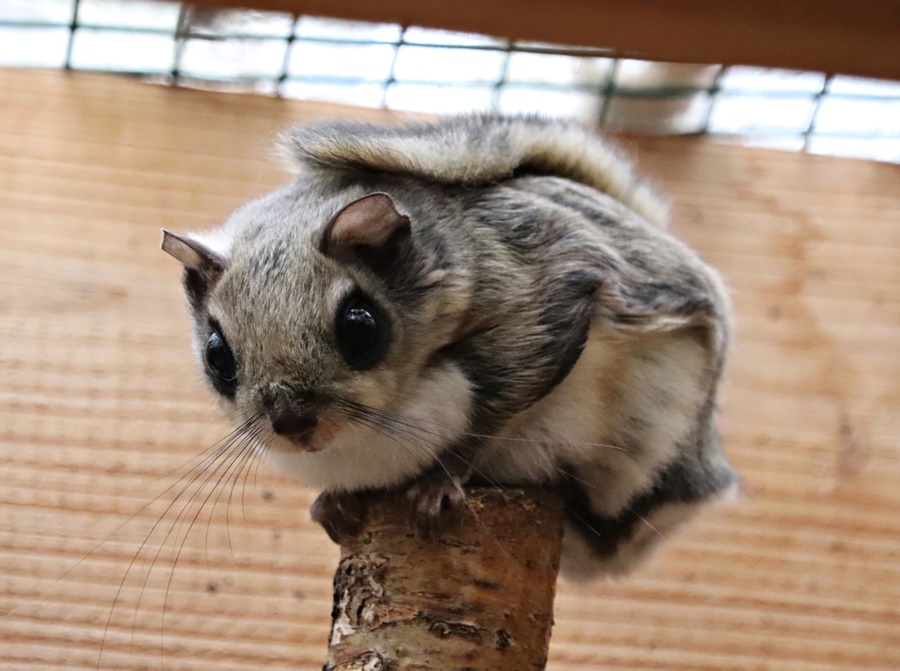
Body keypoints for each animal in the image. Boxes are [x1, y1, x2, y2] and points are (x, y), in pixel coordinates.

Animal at [161, 115, 736, 579]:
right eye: (217, 354)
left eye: (360, 327)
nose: (293, 423)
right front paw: (332, 504)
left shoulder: (543, 299)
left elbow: (497, 407)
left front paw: (441, 480)